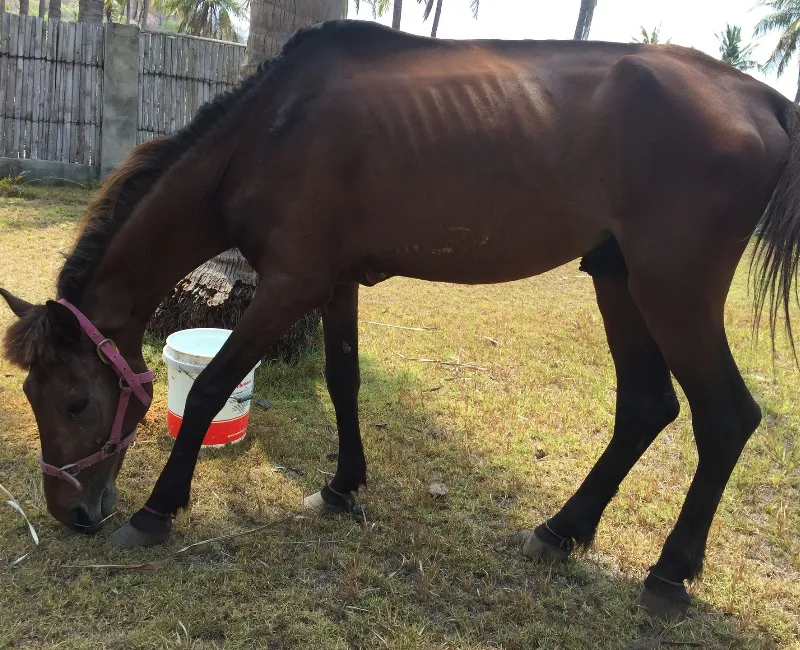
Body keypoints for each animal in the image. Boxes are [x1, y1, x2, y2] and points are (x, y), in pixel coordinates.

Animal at [1, 20, 798, 621]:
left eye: (76, 401)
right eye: (34, 398)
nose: (71, 513)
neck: (270, 133)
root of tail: (760, 96)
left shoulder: (287, 286)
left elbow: (209, 390)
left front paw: (158, 511)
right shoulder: (333, 283)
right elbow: (343, 379)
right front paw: (342, 486)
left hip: (674, 290)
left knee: (726, 416)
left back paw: (668, 573)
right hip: (618, 279)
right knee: (644, 407)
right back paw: (561, 530)